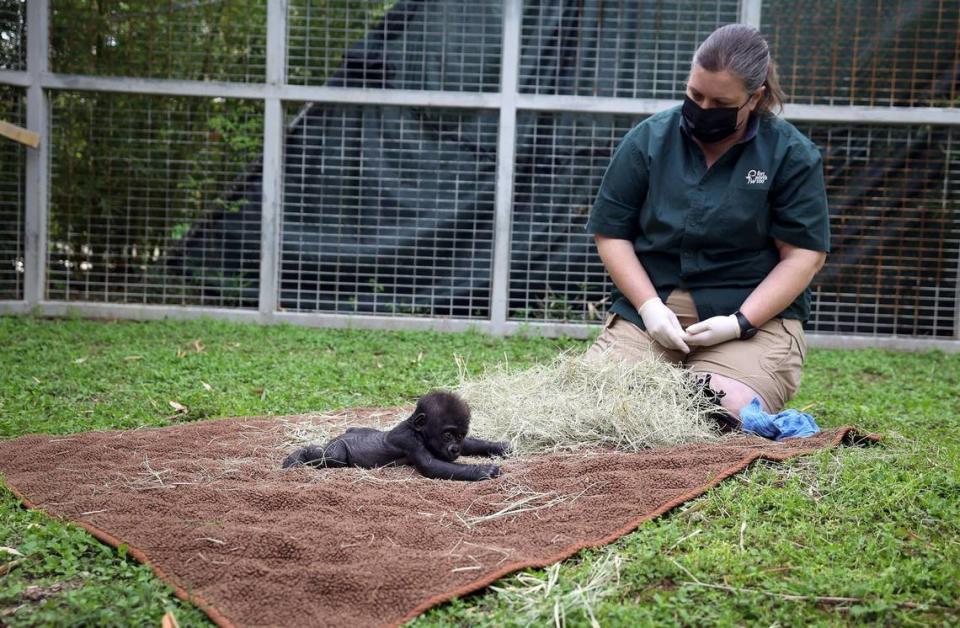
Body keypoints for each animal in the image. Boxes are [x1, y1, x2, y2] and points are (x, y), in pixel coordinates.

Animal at [280, 392, 510, 480]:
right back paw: (298, 456)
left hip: (354, 430)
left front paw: (498, 447)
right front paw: (482, 470)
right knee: (331, 456)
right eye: (447, 435)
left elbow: (470, 445)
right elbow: (431, 466)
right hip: (337, 448)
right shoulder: (409, 441)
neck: (416, 429)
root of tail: (338, 436)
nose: (454, 448)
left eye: (460, 435)